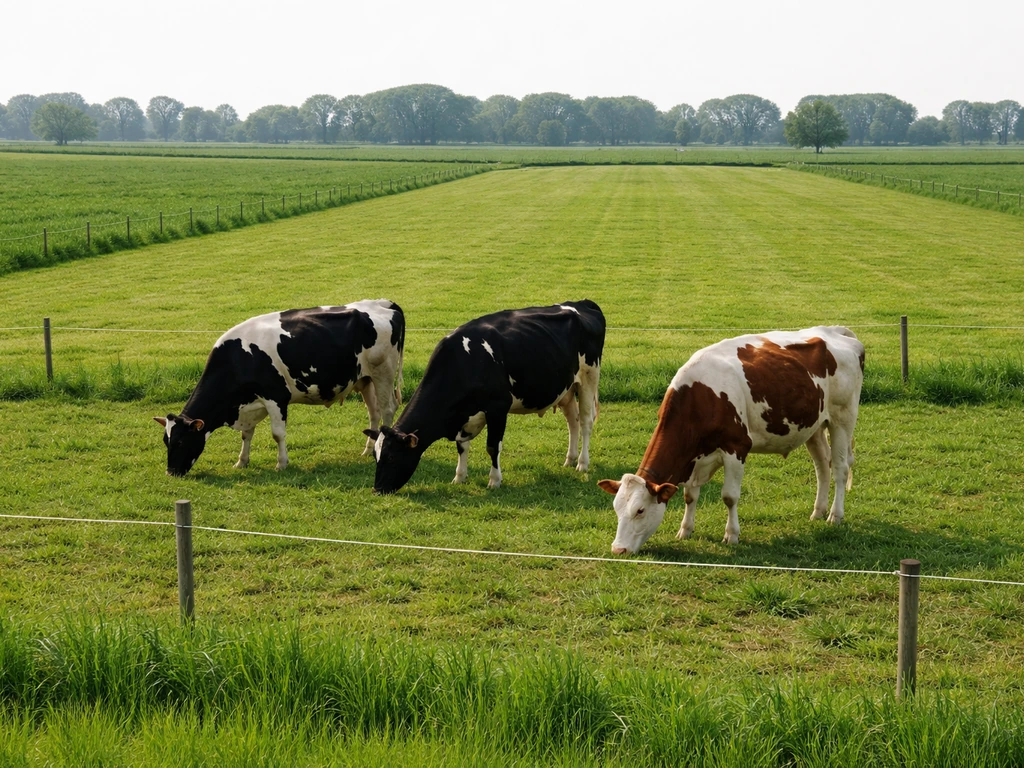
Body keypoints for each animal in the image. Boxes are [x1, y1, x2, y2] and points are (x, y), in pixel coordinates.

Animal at [154, 299, 405, 477]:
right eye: (166, 441)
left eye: (180, 441)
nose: (171, 473)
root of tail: (383, 302)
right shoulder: (250, 404)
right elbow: (247, 434)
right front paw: (241, 461)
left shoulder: (275, 398)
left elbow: (277, 434)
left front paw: (281, 464)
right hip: (365, 379)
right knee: (374, 412)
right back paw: (367, 449)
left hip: (383, 372)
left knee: (387, 409)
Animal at [365, 300, 605, 494]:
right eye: (376, 456)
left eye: (392, 456)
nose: (378, 489)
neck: (464, 362)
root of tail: (582, 303)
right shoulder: (463, 416)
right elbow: (462, 447)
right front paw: (459, 477)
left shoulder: (498, 408)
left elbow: (492, 447)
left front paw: (494, 481)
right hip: (567, 388)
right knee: (572, 421)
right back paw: (570, 459)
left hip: (588, 378)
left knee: (585, 422)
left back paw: (582, 463)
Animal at [599, 326, 864, 553]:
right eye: (616, 509)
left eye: (640, 511)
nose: (618, 549)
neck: (700, 398)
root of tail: (834, 330)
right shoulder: (696, 457)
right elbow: (689, 495)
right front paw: (685, 530)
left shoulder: (736, 447)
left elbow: (729, 496)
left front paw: (732, 535)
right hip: (814, 426)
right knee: (822, 467)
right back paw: (818, 511)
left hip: (843, 418)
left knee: (840, 468)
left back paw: (835, 515)